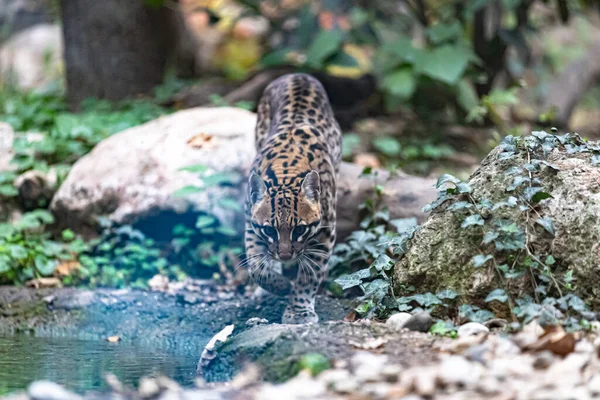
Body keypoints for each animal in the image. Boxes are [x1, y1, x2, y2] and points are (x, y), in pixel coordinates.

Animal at [241, 72, 340, 324]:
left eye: (300, 229)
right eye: (269, 230)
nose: (285, 256)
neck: (285, 177)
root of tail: (298, 74)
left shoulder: (326, 233)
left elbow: (309, 275)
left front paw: (299, 310)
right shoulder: (250, 223)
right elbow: (256, 265)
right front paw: (280, 285)